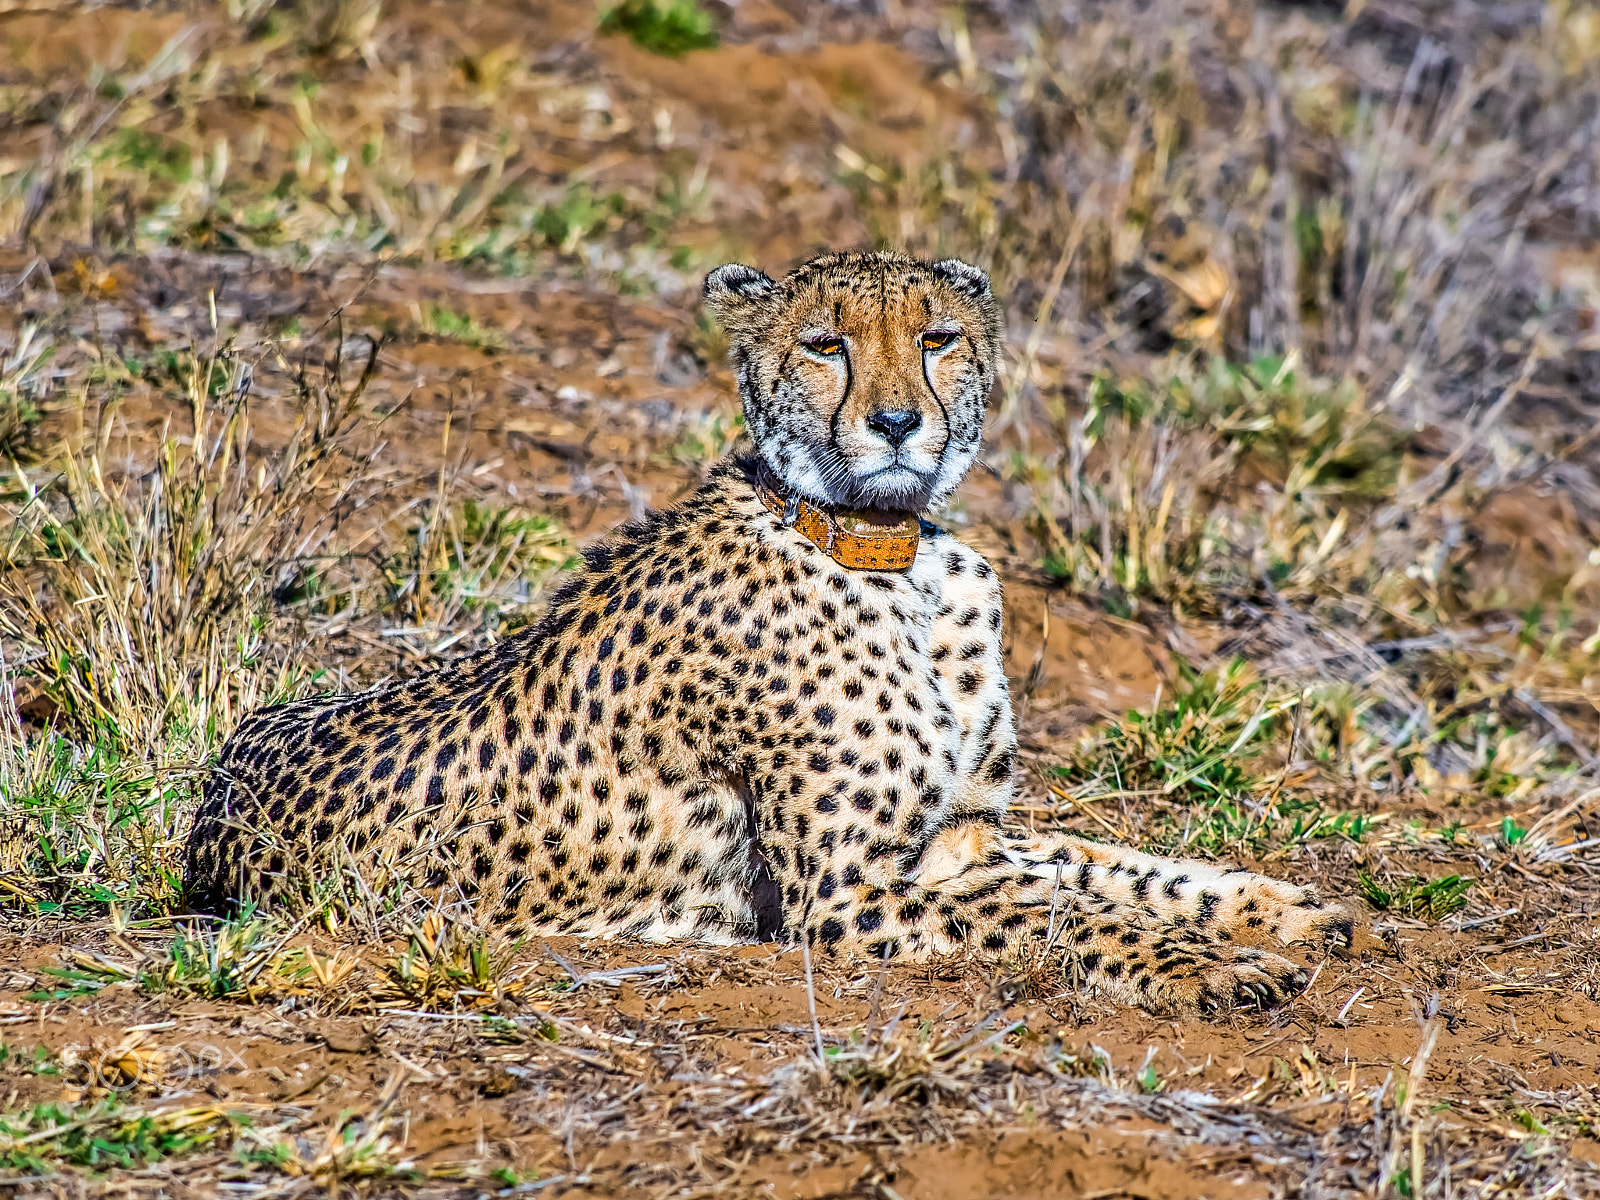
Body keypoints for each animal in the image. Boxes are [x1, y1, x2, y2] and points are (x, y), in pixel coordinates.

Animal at [184, 250, 1353, 1013]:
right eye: (825, 346)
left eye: (936, 340)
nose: (896, 422)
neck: (890, 552)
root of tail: (212, 807)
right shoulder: (849, 895)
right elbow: (1066, 908)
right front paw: (1209, 965)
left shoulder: (961, 839)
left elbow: (1111, 866)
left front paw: (1279, 908)